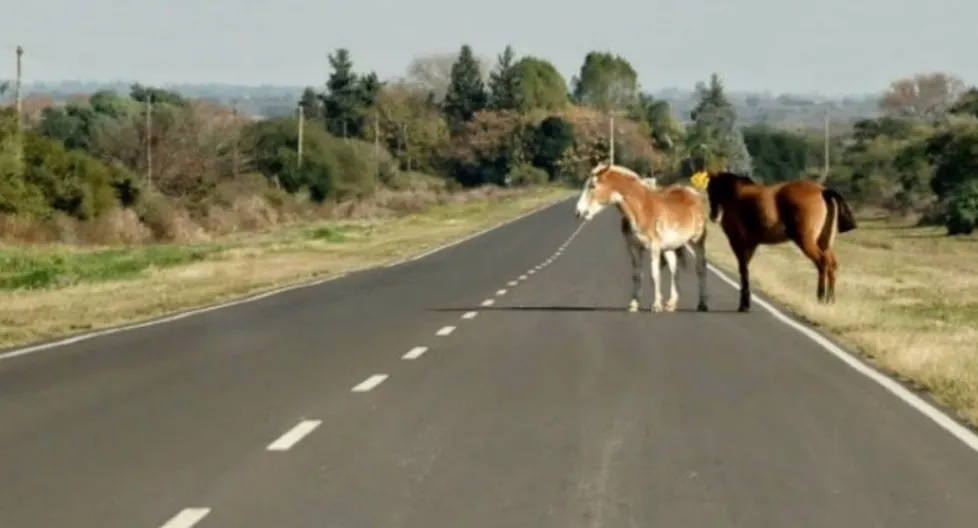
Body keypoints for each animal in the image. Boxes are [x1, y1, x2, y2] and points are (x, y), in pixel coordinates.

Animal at [574, 162, 710, 313]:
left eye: (592, 186)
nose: (578, 212)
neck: (641, 209)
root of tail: (693, 194)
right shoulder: (633, 248)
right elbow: (637, 275)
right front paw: (634, 304)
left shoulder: (654, 248)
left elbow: (654, 275)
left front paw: (656, 305)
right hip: (669, 247)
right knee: (674, 269)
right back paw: (671, 303)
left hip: (697, 242)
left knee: (701, 269)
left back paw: (702, 304)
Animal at [692, 170, 857, 312]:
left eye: (711, 189)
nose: (713, 215)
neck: (735, 195)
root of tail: (822, 190)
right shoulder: (751, 245)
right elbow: (745, 270)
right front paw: (746, 302)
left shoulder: (738, 243)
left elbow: (743, 270)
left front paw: (744, 304)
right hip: (824, 242)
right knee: (832, 264)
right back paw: (830, 299)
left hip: (807, 242)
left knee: (822, 263)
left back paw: (821, 297)